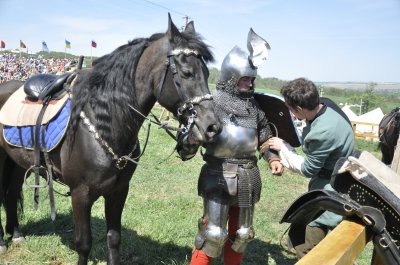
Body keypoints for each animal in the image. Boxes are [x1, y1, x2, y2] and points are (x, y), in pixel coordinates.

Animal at [0, 14, 220, 264]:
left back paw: (16, 234)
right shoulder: (80, 194)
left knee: (10, 193)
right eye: (186, 72)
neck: (105, 125)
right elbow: (84, 244)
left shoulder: (118, 192)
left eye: (207, 73)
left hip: (19, 163)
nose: (213, 127)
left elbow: (114, 238)